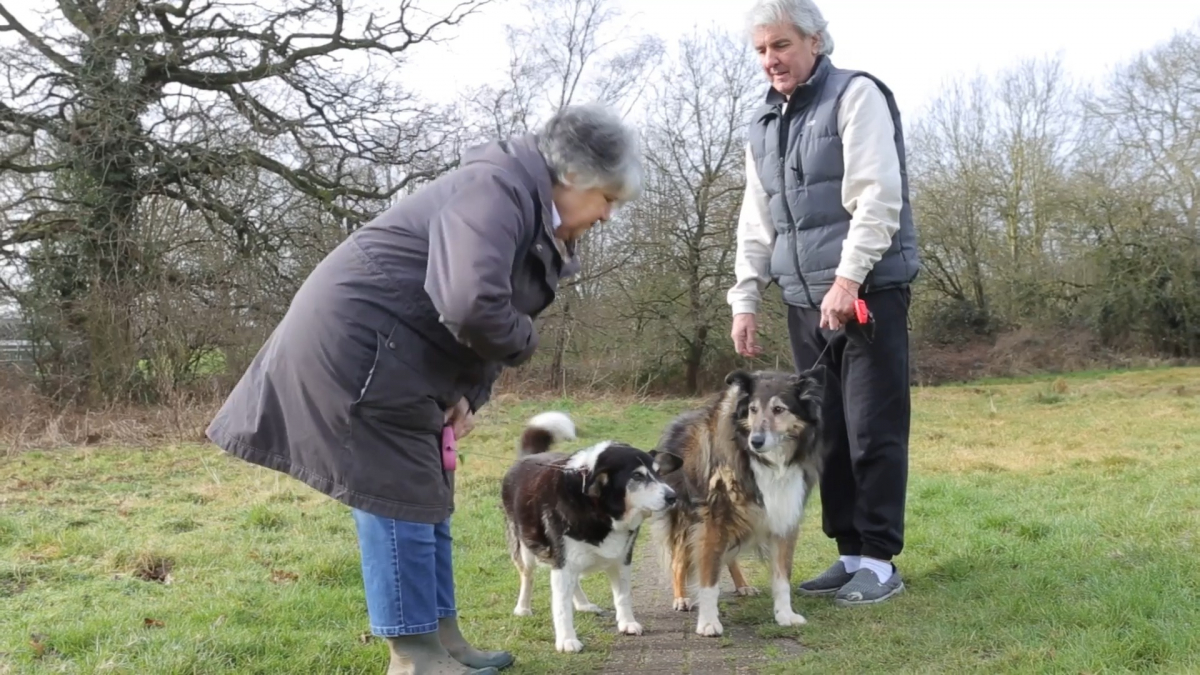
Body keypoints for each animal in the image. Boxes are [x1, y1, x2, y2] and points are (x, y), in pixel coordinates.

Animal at [499, 410, 686, 653]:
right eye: (637, 476)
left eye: (658, 473)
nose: (673, 497)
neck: (599, 509)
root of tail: (530, 457)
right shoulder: (562, 562)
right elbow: (561, 607)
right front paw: (567, 640)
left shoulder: (622, 558)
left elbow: (623, 595)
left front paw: (627, 622)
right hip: (526, 548)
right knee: (527, 576)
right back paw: (523, 608)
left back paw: (583, 604)